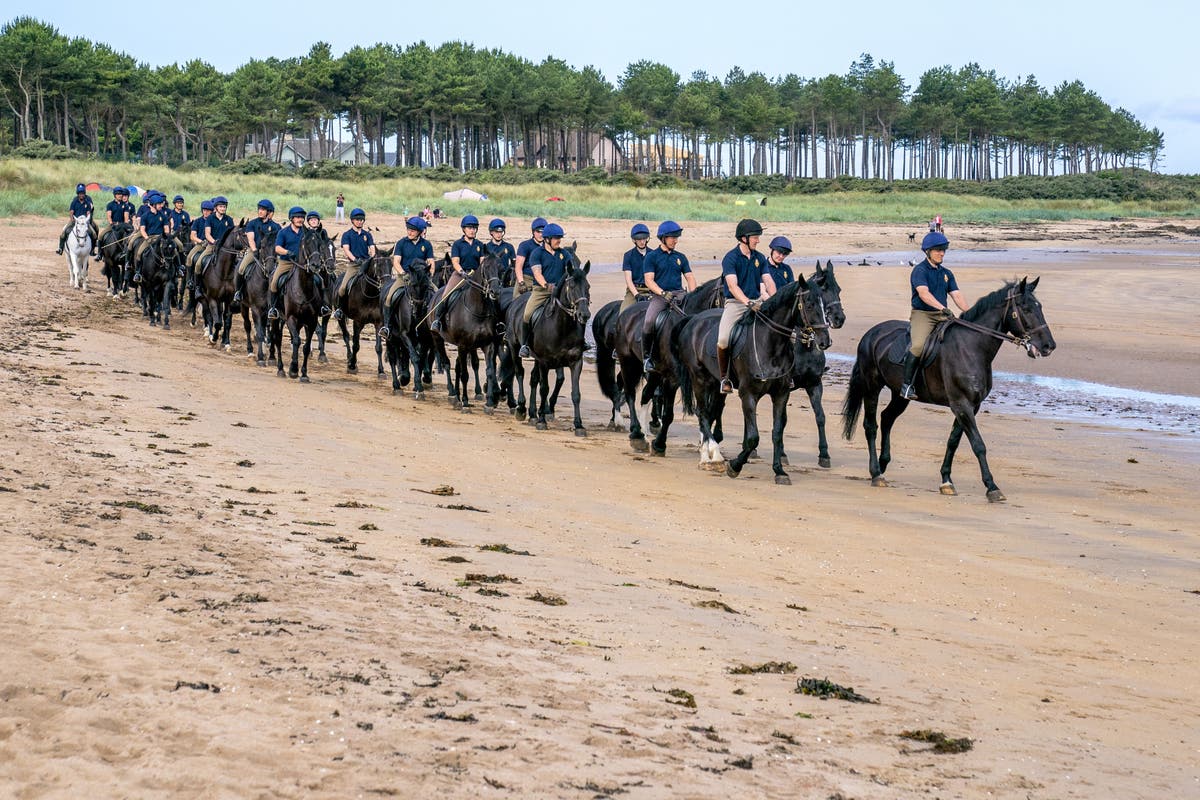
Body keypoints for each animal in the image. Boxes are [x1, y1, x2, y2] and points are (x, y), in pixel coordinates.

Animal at [271, 227, 333, 382]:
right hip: (277, 318)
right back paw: (280, 369)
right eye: (306, 243)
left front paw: (303, 374)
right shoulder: (291, 318)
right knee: (278, 339)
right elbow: (297, 341)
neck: (303, 289)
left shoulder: (311, 321)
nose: (315, 265)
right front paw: (293, 369)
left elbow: (305, 346)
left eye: (320, 245)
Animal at [383, 264, 437, 399]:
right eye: (412, 284)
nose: (418, 310)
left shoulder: (425, 338)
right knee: (392, 357)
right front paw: (417, 386)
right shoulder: (405, 334)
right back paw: (397, 385)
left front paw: (419, 384)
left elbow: (421, 359)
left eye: (426, 285)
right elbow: (415, 358)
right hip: (391, 337)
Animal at [501, 253, 591, 434]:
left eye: (588, 286)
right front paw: (542, 420)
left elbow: (575, 393)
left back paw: (533, 414)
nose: (584, 315)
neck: (562, 326)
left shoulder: (575, 361)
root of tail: (516, 302)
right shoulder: (545, 362)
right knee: (519, 373)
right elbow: (544, 389)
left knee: (533, 379)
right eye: (572, 286)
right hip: (514, 348)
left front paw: (578, 425)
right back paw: (522, 409)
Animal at [676, 278, 830, 484]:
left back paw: (707, 452)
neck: (771, 345)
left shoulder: (781, 394)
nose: (825, 341)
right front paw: (735, 466)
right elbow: (753, 437)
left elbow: (777, 432)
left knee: (710, 412)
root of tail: (693, 320)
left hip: (714, 382)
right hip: (699, 379)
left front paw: (780, 471)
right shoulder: (748, 394)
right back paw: (713, 456)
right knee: (702, 413)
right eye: (810, 304)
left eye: (823, 305)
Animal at [841, 277, 1055, 502]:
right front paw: (992, 487)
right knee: (871, 425)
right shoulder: (961, 405)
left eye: (1039, 307)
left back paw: (883, 465)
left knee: (887, 418)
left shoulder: (971, 406)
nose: (1049, 346)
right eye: (1026, 308)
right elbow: (978, 444)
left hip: (900, 395)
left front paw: (946, 481)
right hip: (872, 387)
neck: (971, 347)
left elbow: (953, 441)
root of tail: (871, 334)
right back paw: (876, 473)